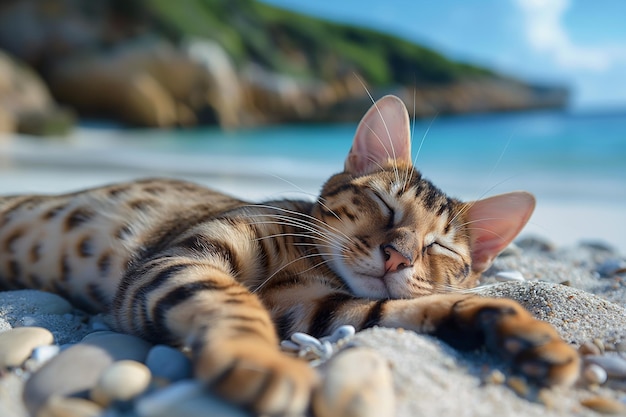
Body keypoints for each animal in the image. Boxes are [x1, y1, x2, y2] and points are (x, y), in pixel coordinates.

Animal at [0, 96, 576, 414]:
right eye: (385, 204)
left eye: (439, 247)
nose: (397, 256)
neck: (309, 260)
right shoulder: (177, 261)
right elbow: (234, 301)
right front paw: (260, 360)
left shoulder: (312, 306)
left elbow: (397, 309)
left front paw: (519, 329)